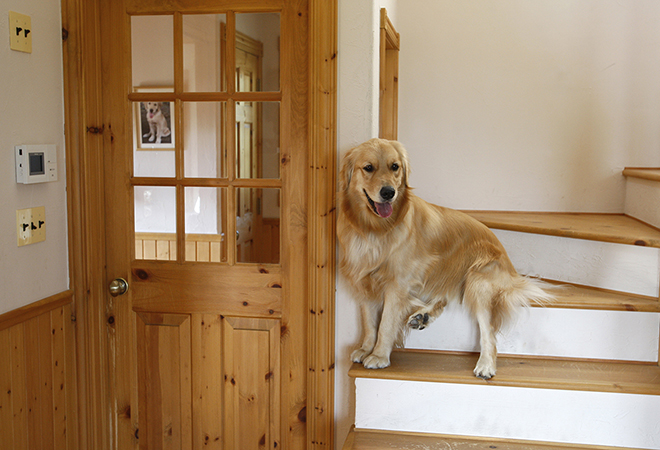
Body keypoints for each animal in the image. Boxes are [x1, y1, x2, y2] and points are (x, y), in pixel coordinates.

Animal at [338, 139, 556, 378]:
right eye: (368, 168)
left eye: (395, 167)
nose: (389, 192)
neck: (375, 229)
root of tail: (512, 270)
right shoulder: (363, 278)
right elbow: (368, 321)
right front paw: (366, 348)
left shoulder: (398, 283)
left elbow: (386, 322)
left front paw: (378, 355)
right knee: (444, 297)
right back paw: (422, 316)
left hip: (478, 280)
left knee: (488, 332)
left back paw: (486, 365)